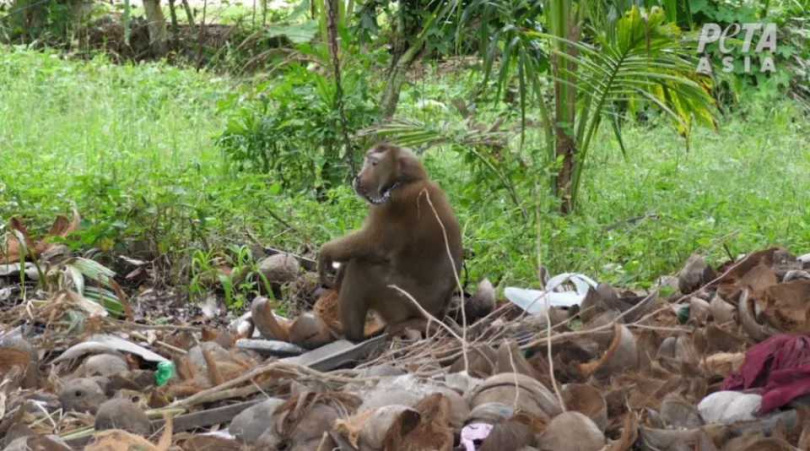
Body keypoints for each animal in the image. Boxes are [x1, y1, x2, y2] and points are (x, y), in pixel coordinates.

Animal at [318, 145, 464, 342]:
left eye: (374, 163)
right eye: (367, 160)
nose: (359, 176)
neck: (407, 181)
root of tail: (435, 316)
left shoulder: (393, 203)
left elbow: (371, 244)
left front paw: (326, 252)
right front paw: (338, 269)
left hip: (399, 303)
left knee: (362, 270)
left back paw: (352, 336)